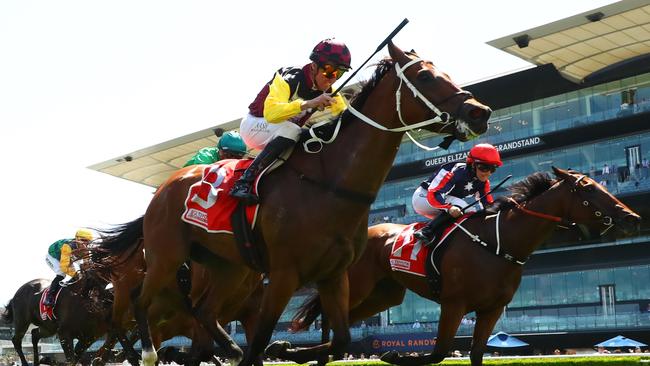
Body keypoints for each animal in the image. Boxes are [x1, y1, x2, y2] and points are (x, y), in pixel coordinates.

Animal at [90, 40, 486, 366]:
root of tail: (165, 186)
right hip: (167, 255)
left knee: (203, 311)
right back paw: (148, 352)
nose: (479, 111)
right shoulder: (283, 274)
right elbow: (260, 342)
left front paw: (288, 349)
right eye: (426, 76)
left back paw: (227, 348)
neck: (330, 186)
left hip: (227, 266)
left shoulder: (333, 274)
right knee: (141, 301)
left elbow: (340, 340)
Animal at [278, 167, 636, 364]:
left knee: (344, 325)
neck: (500, 244)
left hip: (385, 294)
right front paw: (394, 355)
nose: (631, 218)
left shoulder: (491, 309)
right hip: (360, 285)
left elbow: (476, 353)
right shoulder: (454, 303)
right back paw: (292, 349)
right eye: (588, 189)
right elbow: (438, 352)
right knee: (331, 318)